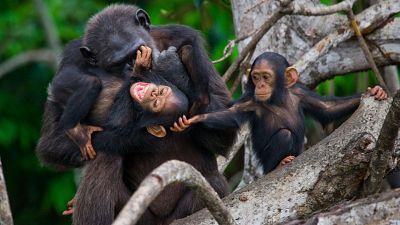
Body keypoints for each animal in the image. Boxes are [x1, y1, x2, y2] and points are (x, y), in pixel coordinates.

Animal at [173, 51, 388, 174]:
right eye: (255, 77)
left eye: (266, 77)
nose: (260, 85)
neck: (278, 98)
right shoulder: (250, 101)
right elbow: (230, 115)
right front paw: (196, 119)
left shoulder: (300, 92)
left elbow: (327, 108)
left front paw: (376, 91)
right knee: (284, 135)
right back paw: (279, 164)